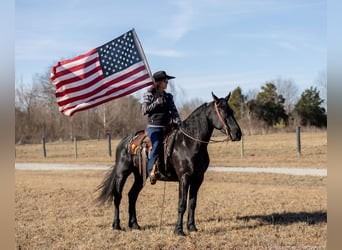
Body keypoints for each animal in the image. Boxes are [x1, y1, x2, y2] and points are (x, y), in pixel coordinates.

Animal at [95, 92, 242, 236]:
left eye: (231, 111)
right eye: (222, 111)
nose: (237, 133)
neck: (190, 142)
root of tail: (125, 141)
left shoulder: (198, 178)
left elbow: (192, 203)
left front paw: (192, 227)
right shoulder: (184, 177)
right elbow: (182, 204)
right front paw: (179, 230)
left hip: (140, 176)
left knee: (132, 195)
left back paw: (135, 225)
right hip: (122, 173)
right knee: (117, 197)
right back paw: (116, 225)